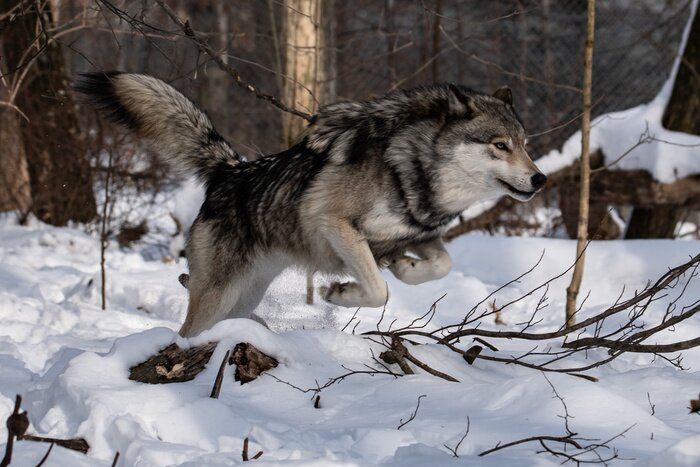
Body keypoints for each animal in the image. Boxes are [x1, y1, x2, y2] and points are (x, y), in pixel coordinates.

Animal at [75, 72, 546, 337]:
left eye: (525, 144)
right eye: (500, 145)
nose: (540, 178)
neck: (413, 171)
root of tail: (229, 170)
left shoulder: (416, 235)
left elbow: (439, 266)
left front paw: (404, 268)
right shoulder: (335, 223)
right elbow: (378, 289)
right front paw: (339, 293)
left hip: (243, 295)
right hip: (218, 295)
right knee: (187, 330)